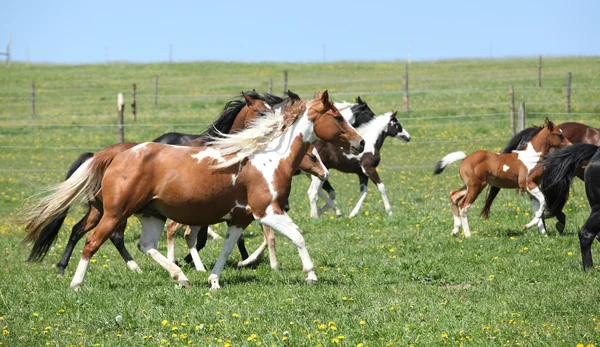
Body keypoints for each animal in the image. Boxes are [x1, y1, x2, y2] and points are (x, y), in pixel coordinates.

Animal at [19, 90, 366, 290]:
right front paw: (311, 275)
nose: (361, 143)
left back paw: (181, 278)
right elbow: (297, 236)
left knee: (146, 245)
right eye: (337, 116)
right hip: (116, 213)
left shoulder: (240, 218)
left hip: (150, 215)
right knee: (93, 241)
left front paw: (213, 279)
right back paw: (76, 282)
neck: (267, 158)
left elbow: (227, 248)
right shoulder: (267, 211)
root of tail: (115, 153)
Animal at [434, 118, 568, 238]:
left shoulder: (531, 188)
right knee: (463, 206)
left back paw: (455, 230)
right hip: (476, 186)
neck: (531, 157)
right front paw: (529, 226)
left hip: (470, 186)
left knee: (454, 195)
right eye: (559, 134)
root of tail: (465, 158)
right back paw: (467, 234)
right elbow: (543, 200)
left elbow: (538, 206)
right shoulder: (527, 185)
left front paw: (543, 233)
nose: (570, 145)